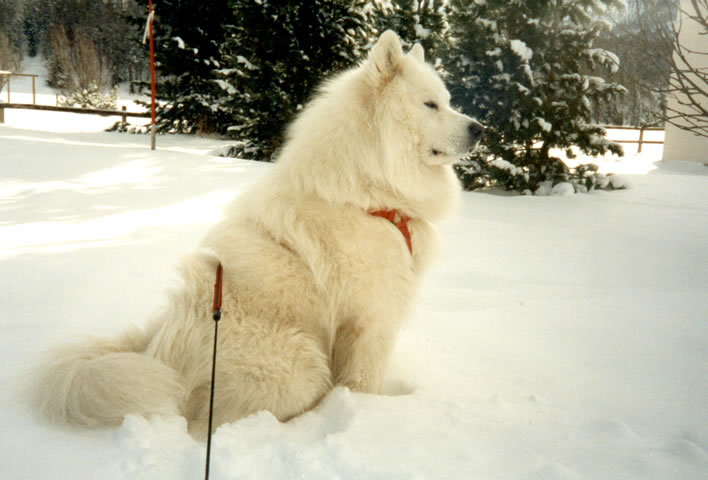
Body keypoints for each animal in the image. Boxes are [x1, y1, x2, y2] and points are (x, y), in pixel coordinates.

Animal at [36, 28, 484, 436]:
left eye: (448, 101)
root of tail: (157, 352)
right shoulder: (370, 319)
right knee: (207, 425)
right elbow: (363, 383)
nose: (479, 129)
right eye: (430, 104)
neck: (369, 193)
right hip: (298, 363)